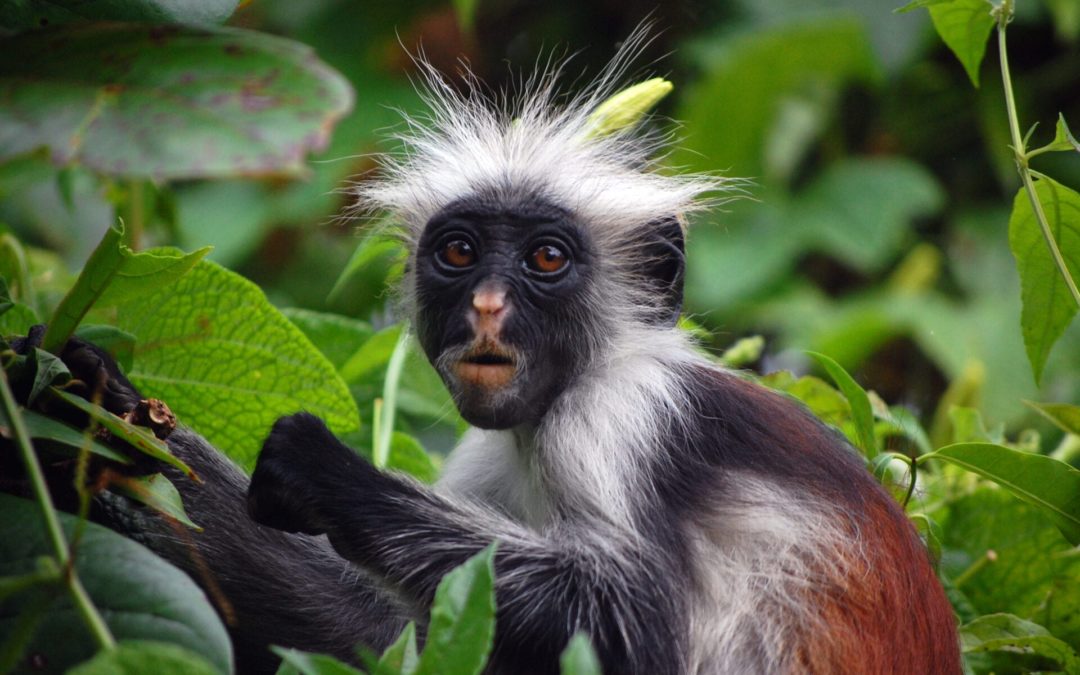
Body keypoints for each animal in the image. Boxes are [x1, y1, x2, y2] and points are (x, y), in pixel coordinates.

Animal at [82, 38, 963, 673]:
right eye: (460, 252)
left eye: (545, 258)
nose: (486, 305)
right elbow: (388, 631)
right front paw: (98, 407)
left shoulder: (623, 417)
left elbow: (635, 626)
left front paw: (323, 471)